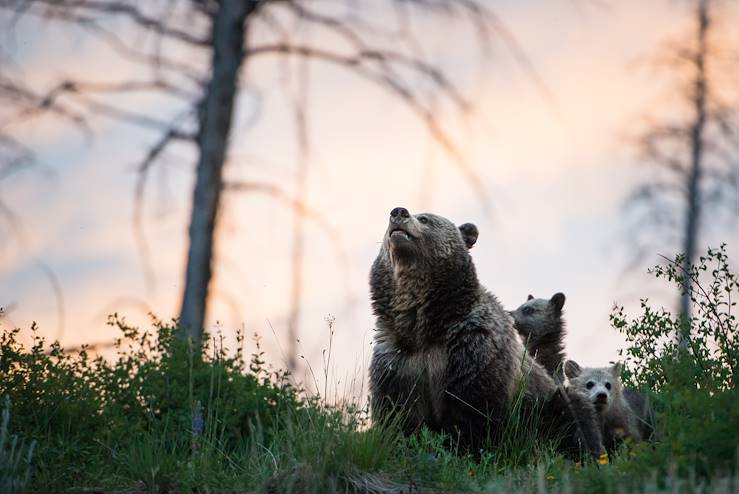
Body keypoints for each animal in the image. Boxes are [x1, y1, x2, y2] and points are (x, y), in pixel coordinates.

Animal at [370, 207, 608, 460]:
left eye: (425, 218)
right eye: (387, 221)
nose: (399, 212)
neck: (427, 326)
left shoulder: (472, 349)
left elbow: (475, 411)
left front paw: (462, 449)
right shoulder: (399, 361)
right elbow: (397, 412)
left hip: (551, 405)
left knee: (573, 414)